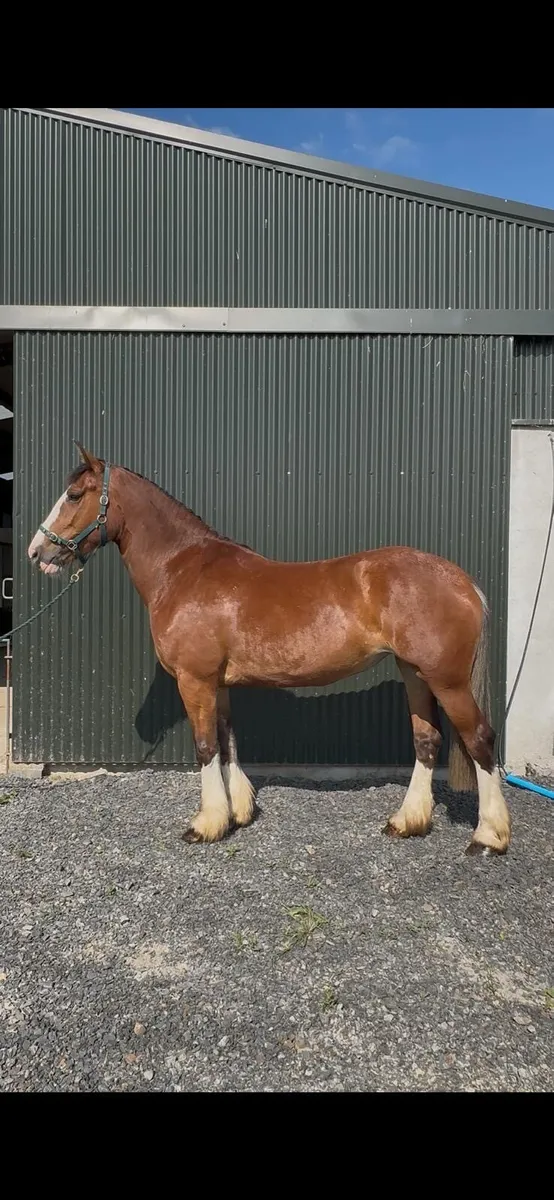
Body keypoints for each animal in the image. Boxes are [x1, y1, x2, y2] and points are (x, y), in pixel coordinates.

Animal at [27, 444, 511, 857]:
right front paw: (238, 812)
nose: (37, 551)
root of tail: (463, 582)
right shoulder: (218, 683)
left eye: (74, 495)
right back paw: (407, 821)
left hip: (448, 681)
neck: (182, 569)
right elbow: (227, 739)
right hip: (415, 674)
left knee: (480, 739)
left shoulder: (195, 681)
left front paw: (206, 824)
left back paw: (488, 836)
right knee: (427, 740)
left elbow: (205, 746)